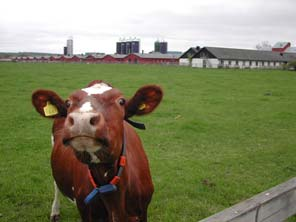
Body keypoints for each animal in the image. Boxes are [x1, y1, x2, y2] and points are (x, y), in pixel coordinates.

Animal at [31, 80, 164, 221]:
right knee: (56, 184)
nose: (82, 119)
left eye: (121, 101)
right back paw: (55, 212)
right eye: (68, 103)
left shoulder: (142, 211)